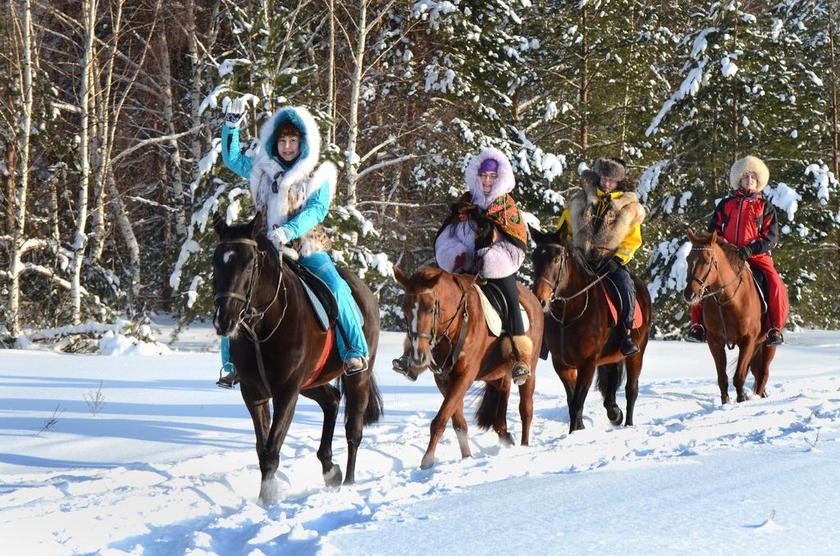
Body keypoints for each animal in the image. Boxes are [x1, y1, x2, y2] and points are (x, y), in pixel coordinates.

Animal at [212, 212, 383, 503]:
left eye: (248, 263)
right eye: (215, 261)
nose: (224, 320)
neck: (263, 327)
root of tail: (366, 292)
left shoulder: (286, 392)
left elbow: (271, 449)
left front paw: (268, 498)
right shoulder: (254, 393)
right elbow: (262, 449)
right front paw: (265, 498)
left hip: (357, 377)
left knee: (353, 431)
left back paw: (348, 482)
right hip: (311, 382)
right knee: (332, 400)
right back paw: (329, 469)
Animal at [392, 266, 544, 469]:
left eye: (431, 309)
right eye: (405, 311)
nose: (419, 356)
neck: (456, 325)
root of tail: (535, 300)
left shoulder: (464, 376)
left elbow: (441, 419)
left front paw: (427, 460)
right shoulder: (444, 380)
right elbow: (458, 422)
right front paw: (466, 457)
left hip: (530, 371)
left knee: (526, 409)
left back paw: (524, 446)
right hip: (498, 375)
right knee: (501, 411)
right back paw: (506, 439)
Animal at [530, 226, 652, 434]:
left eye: (556, 259)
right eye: (534, 258)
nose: (540, 300)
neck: (569, 313)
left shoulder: (587, 364)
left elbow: (577, 403)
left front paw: (575, 433)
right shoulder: (562, 365)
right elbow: (572, 402)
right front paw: (579, 429)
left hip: (637, 353)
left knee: (631, 390)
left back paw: (627, 423)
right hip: (611, 357)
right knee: (611, 385)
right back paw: (614, 412)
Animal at [683, 228, 776, 403]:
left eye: (707, 261)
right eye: (688, 259)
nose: (689, 294)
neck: (728, 300)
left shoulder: (747, 340)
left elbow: (739, 377)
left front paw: (741, 400)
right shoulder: (715, 341)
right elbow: (723, 379)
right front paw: (725, 403)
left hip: (768, 345)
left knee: (763, 374)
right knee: (756, 372)